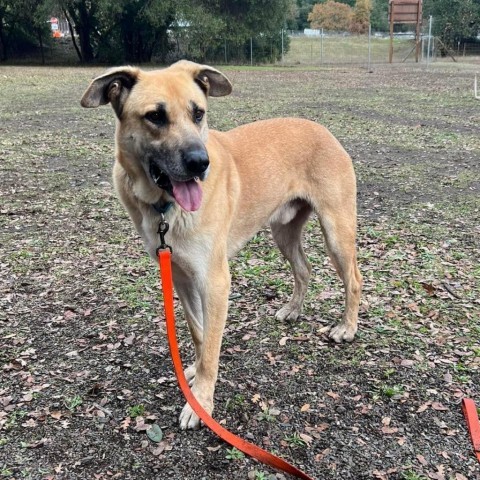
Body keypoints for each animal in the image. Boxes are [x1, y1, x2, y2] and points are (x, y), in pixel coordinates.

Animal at [81, 61, 360, 432]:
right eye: (155, 116)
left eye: (199, 113)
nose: (201, 163)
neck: (164, 208)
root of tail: (323, 129)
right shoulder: (181, 276)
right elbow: (199, 334)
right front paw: (195, 373)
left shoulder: (214, 282)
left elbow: (212, 345)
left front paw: (200, 402)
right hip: (283, 231)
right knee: (304, 269)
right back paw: (293, 309)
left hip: (336, 232)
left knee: (353, 280)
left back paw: (347, 328)